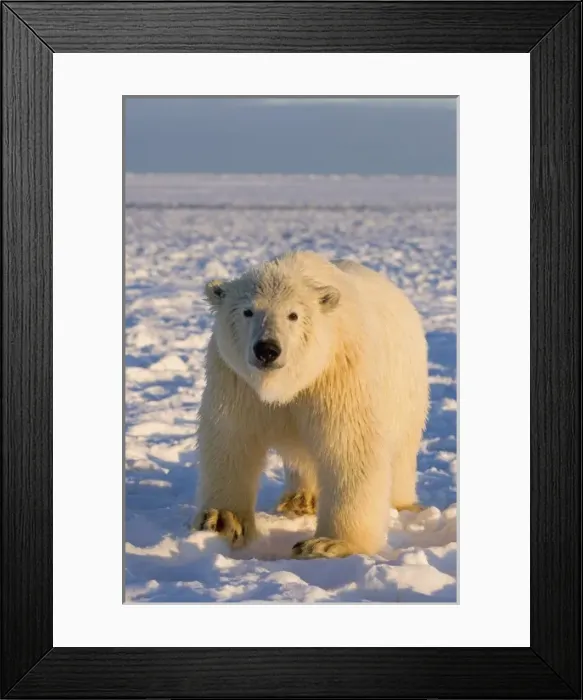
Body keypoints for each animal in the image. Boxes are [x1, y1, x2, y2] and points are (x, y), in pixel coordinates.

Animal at [193, 251, 429, 559]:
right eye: (248, 311)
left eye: (293, 315)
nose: (267, 349)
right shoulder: (236, 381)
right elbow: (232, 437)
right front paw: (222, 519)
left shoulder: (339, 374)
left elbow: (349, 445)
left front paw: (327, 543)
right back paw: (300, 499)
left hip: (407, 389)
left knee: (401, 451)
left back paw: (405, 504)